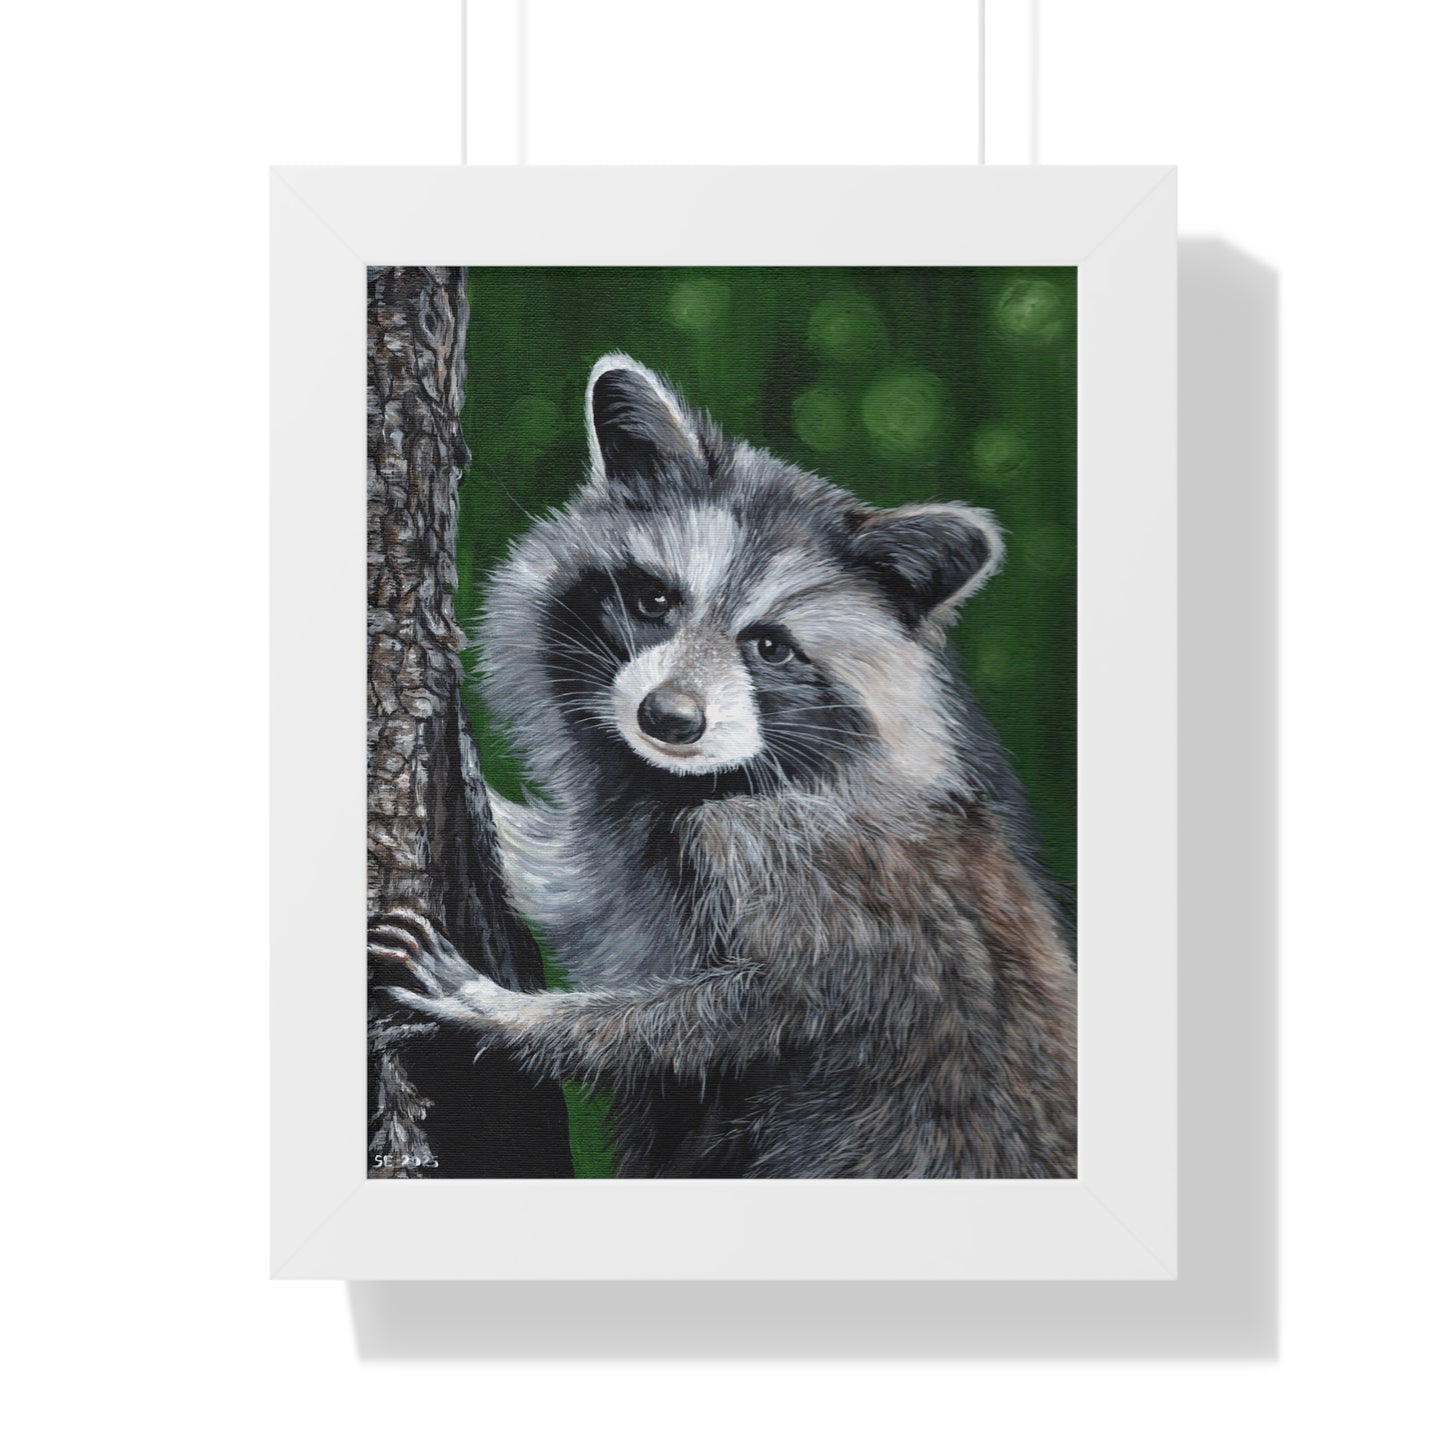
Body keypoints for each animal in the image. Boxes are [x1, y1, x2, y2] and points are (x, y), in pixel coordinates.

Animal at [370, 354, 1077, 1178]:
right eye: (653, 600)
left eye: (769, 646)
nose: (669, 718)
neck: (691, 781)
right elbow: (579, 884)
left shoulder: (806, 865)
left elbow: (745, 1010)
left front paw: (508, 1014)